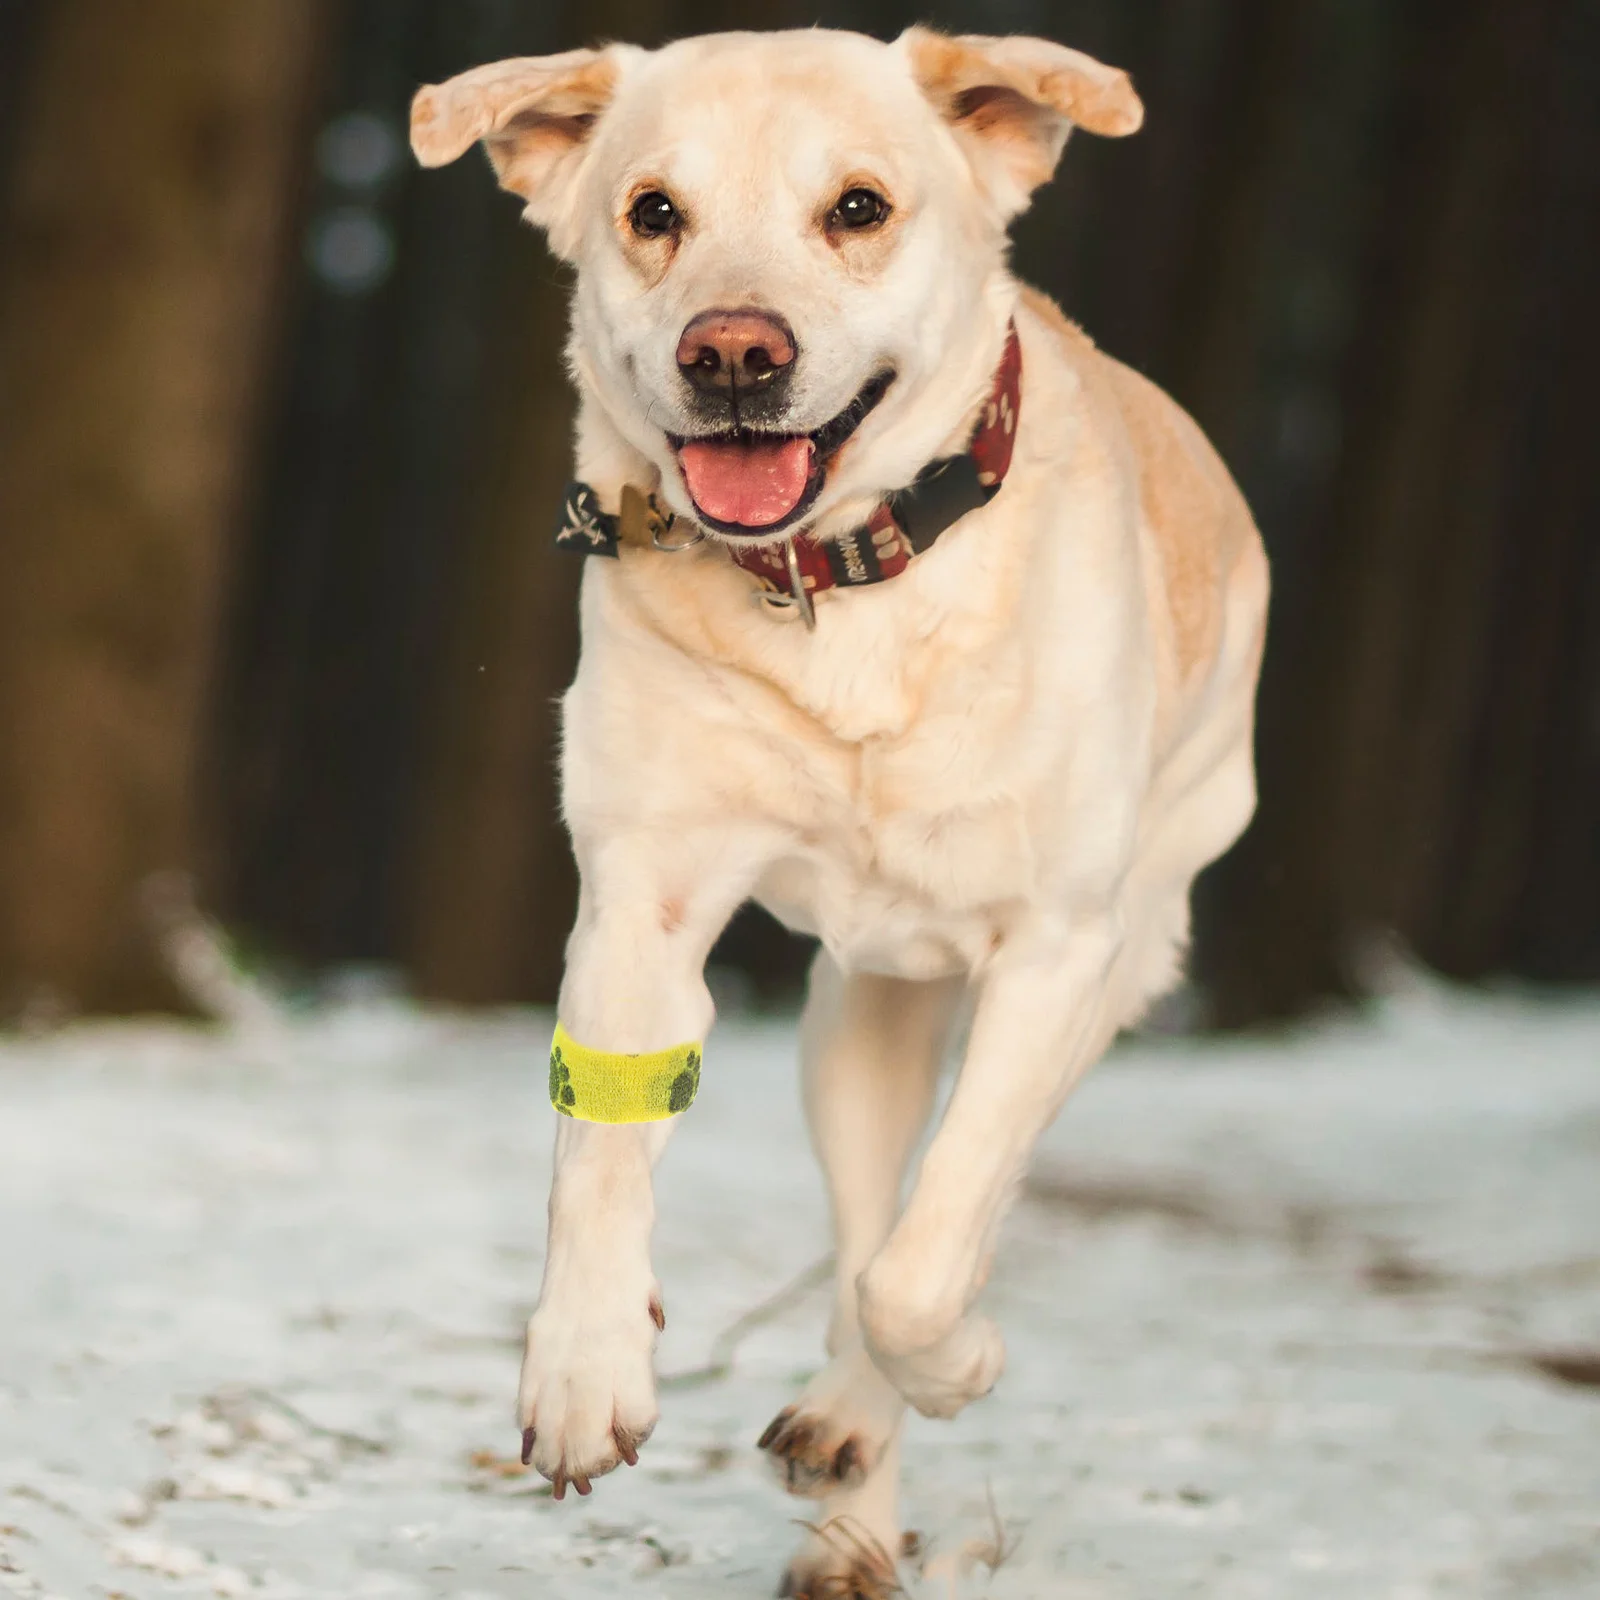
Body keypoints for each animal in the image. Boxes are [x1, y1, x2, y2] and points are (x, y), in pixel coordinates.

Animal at [419, 28, 1267, 1600]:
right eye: (654, 212)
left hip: (1123, 947)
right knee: (869, 1210)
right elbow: (602, 1157)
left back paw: (863, 1422)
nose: (732, 354)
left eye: (857, 209)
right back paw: (850, 1485)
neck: (842, 584)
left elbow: (928, 1265)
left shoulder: (1055, 949)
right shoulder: (642, 894)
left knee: (927, 1224)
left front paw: (959, 1361)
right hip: (855, 1019)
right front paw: (580, 1371)